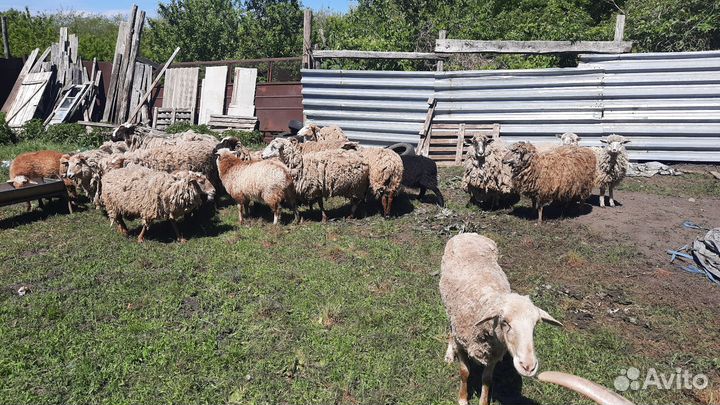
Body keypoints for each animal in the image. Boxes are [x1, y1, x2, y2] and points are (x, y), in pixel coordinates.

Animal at [440, 233, 563, 405]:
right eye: (505, 322)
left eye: (535, 325)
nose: (528, 367)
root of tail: (468, 234)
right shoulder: (463, 342)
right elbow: (464, 372)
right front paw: (463, 398)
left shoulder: (494, 352)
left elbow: (487, 379)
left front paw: (483, 401)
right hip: (449, 309)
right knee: (451, 329)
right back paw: (449, 354)